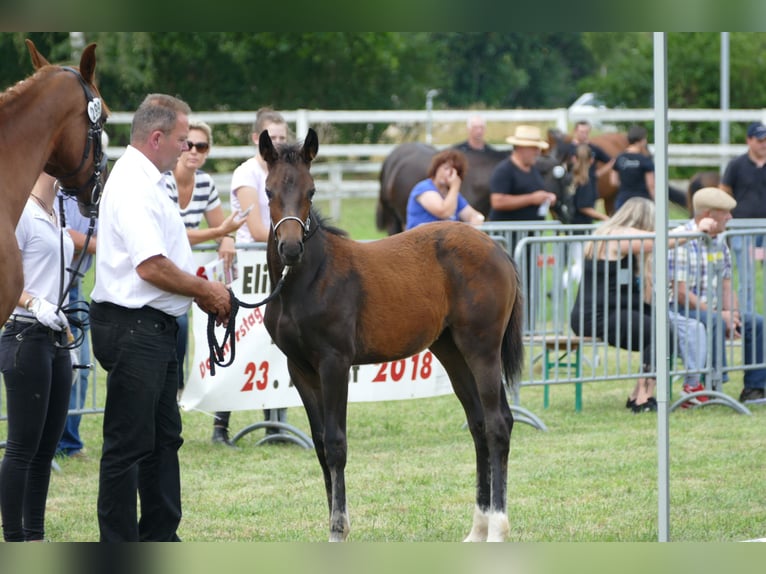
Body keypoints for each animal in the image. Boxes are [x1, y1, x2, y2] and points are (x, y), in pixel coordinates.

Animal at [260, 128, 524, 544]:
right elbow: (319, 446)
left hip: (482, 347)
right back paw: (477, 529)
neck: (307, 278)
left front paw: (339, 530)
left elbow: (336, 444)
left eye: (311, 191)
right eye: (269, 190)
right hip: (452, 351)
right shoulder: (300, 368)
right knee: (480, 425)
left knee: (498, 424)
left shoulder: (335, 363)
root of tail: (497, 249)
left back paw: (496, 529)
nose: (289, 248)